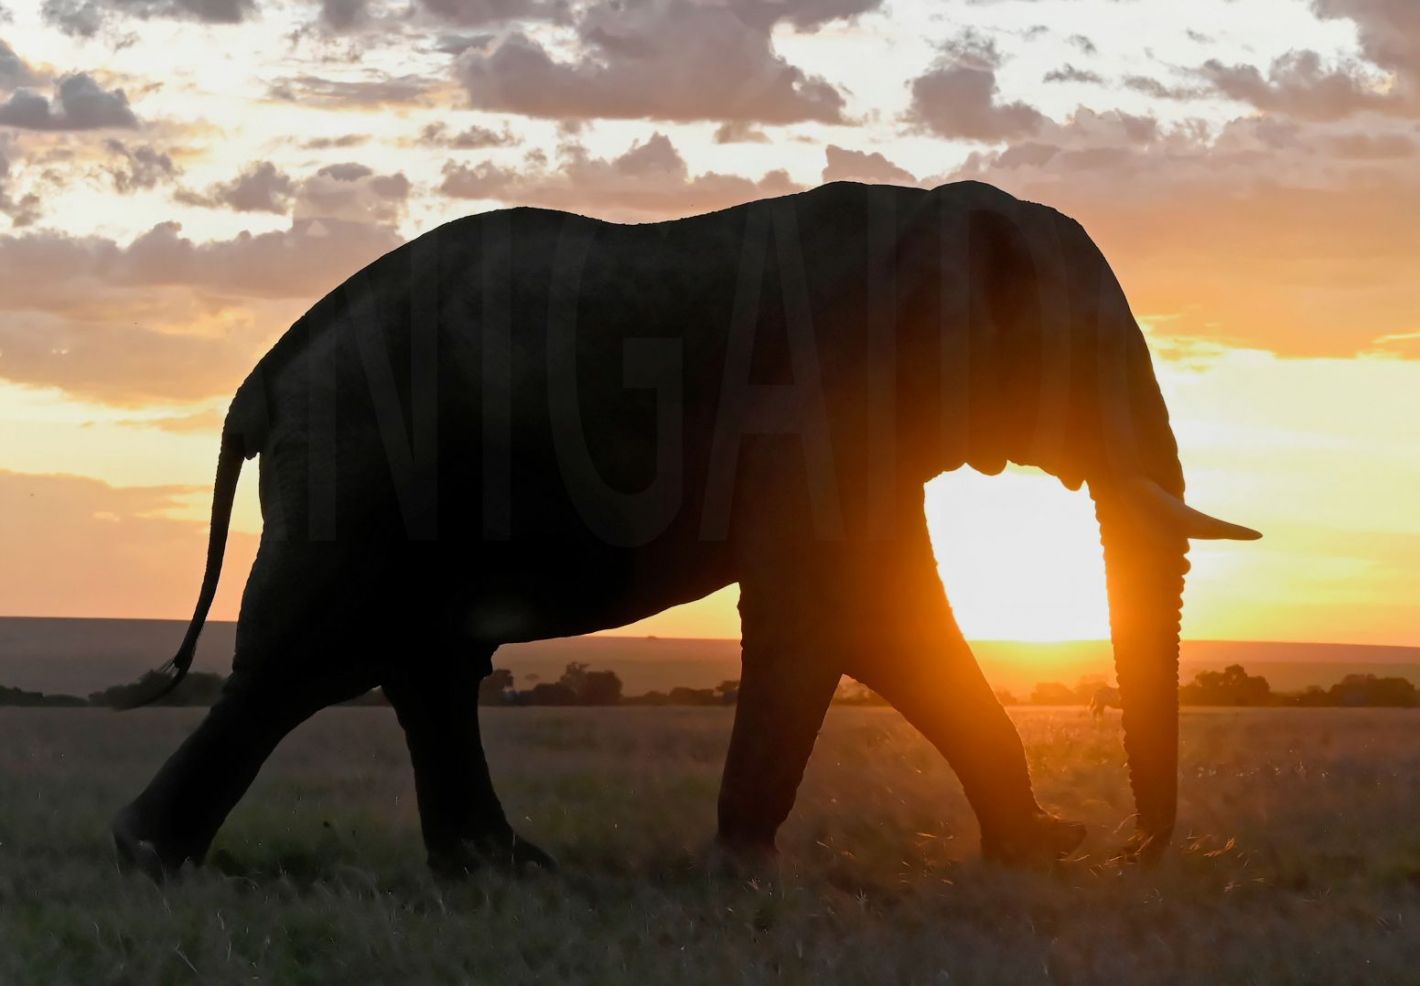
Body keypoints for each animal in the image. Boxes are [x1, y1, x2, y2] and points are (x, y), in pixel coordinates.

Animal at [116, 181, 1260, 886]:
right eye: (1090, 354)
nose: (1130, 847)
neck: (936, 211)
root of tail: (263, 380)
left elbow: (886, 615)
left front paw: (1036, 851)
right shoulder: (818, 395)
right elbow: (827, 607)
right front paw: (744, 875)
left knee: (418, 660)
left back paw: (502, 870)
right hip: (358, 467)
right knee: (304, 658)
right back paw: (151, 858)